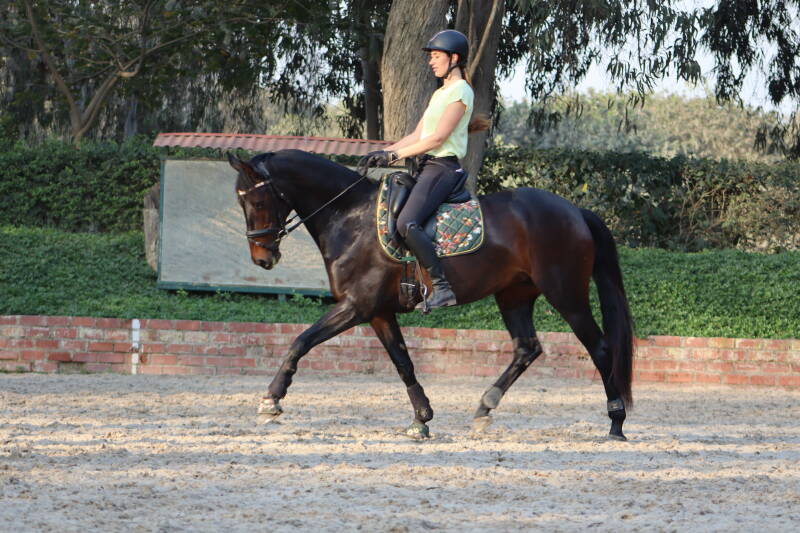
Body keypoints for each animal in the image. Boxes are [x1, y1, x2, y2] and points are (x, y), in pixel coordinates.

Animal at [228, 149, 634, 440]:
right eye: (241, 203)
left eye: (259, 202)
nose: (263, 258)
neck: (350, 218)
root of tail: (575, 211)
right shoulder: (378, 312)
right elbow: (403, 362)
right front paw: (421, 419)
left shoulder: (356, 306)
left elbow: (301, 340)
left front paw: (271, 400)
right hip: (514, 295)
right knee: (526, 348)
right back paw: (484, 409)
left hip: (565, 293)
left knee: (599, 348)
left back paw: (616, 423)